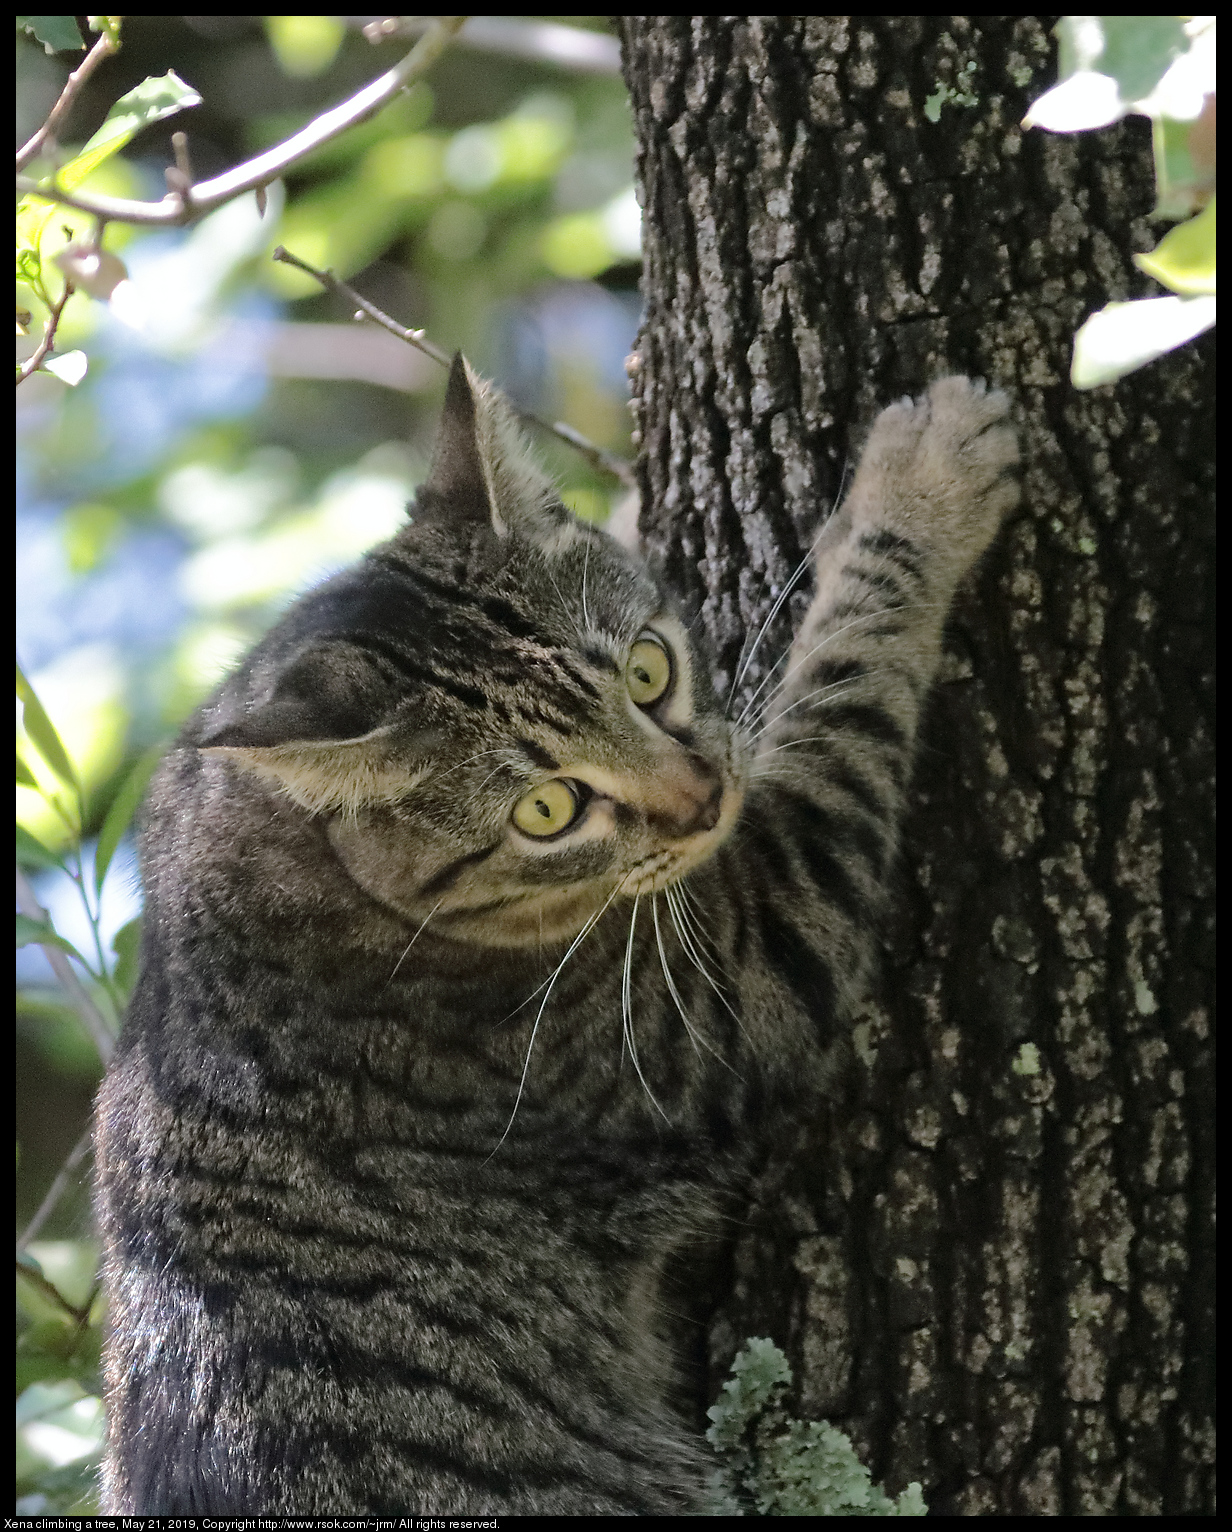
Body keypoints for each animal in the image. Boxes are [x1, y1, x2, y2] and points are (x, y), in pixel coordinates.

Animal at [96, 352, 1017, 1513]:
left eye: (647, 670)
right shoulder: (742, 970)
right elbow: (844, 688)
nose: (701, 798)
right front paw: (920, 485)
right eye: (547, 810)